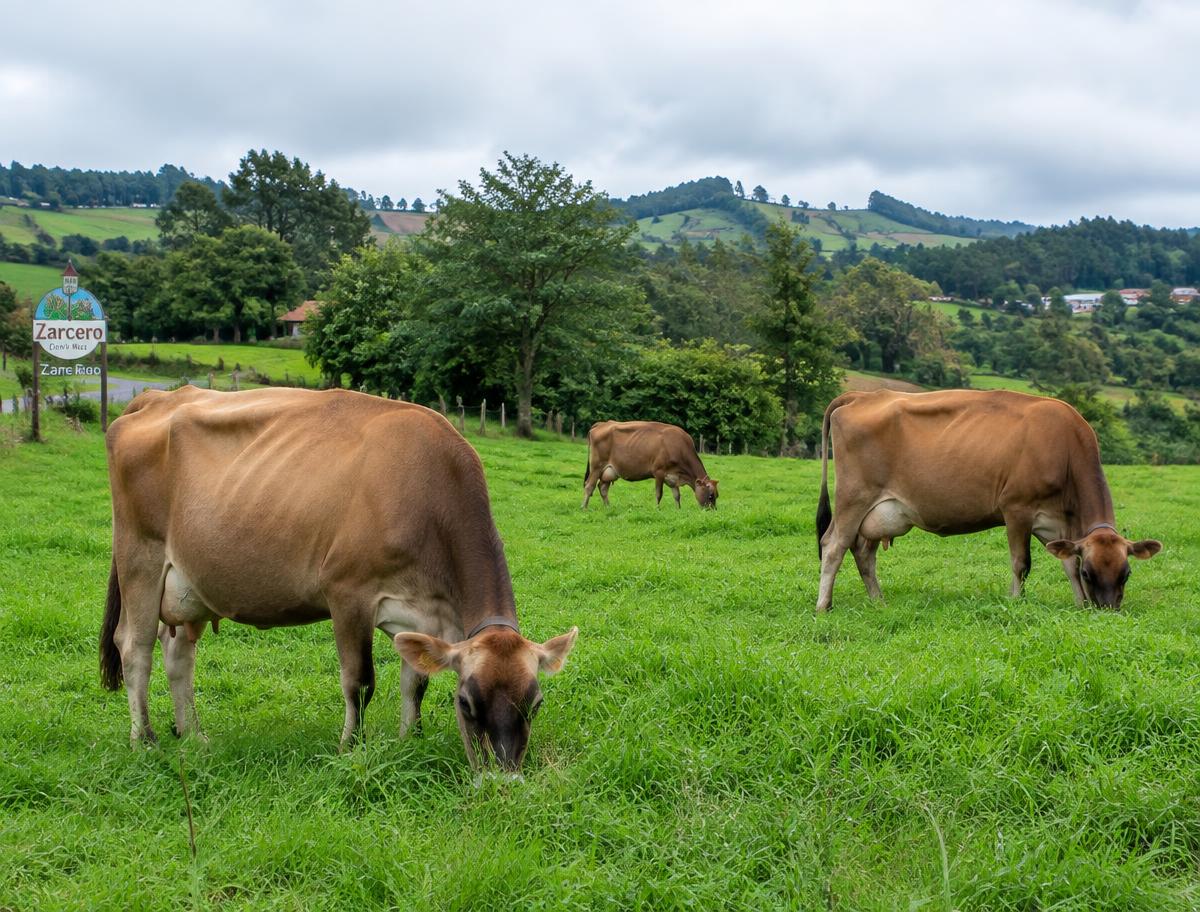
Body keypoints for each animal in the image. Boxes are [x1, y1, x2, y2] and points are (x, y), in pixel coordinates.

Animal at [100, 386, 578, 771]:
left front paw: (410, 740)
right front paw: (351, 748)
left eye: (535, 703)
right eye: (466, 702)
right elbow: (360, 682)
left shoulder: (423, 615)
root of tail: (159, 397)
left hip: (190, 585)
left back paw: (194, 736)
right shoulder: (348, 592)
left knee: (178, 655)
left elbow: (415, 683)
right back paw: (145, 740)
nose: (503, 776)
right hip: (140, 557)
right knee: (135, 647)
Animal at [582, 420, 718, 509]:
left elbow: (677, 495)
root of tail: (602, 423)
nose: (712, 511)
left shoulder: (673, 477)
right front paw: (657, 509)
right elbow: (659, 494)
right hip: (596, 466)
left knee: (603, 488)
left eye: (717, 495)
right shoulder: (659, 472)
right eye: (711, 496)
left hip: (609, 471)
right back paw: (584, 507)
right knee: (589, 486)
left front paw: (678, 509)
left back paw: (608, 507)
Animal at [814, 389, 1161, 612]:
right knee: (833, 546)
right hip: (853, 497)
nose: (1107, 609)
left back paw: (879, 602)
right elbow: (1022, 563)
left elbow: (1067, 563)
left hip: (878, 513)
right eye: (1092, 573)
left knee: (863, 552)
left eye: (1126, 573)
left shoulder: (1057, 523)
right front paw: (1016, 601)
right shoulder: (1017, 508)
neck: (1064, 448)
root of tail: (862, 395)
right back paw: (823, 606)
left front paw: (1080, 604)